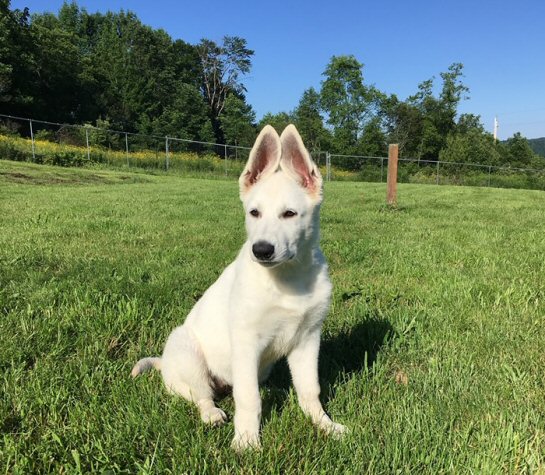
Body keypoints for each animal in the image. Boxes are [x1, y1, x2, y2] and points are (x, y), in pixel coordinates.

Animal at [131, 122, 344, 450]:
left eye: (290, 214)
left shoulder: (308, 339)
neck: (287, 279)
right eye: (254, 213)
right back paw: (212, 414)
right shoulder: (246, 343)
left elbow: (310, 390)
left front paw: (324, 425)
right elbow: (249, 398)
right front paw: (246, 442)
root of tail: (164, 364)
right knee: (202, 395)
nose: (262, 250)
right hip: (188, 353)